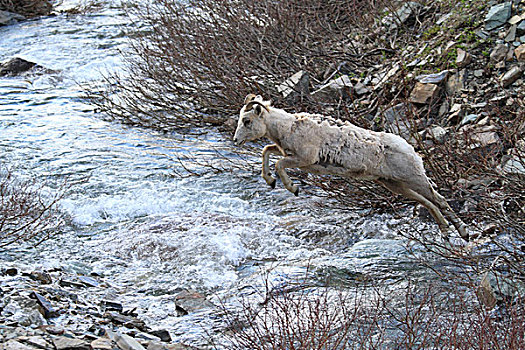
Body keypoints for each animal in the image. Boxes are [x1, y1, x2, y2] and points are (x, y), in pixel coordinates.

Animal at [232, 93, 466, 241]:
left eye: (247, 121)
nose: (236, 140)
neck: (287, 127)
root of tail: (411, 150)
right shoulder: (286, 152)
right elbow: (267, 151)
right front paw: (270, 181)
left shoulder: (304, 159)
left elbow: (279, 163)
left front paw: (293, 188)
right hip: (394, 184)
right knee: (427, 202)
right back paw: (446, 233)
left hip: (413, 178)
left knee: (438, 199)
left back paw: (463, 233)